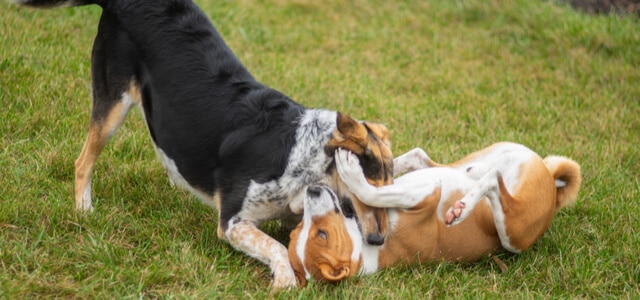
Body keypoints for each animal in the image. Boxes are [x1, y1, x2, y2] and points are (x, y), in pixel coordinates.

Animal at [15, 0, 396, 288]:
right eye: (364, 196)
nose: (379, 242)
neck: (299, 156)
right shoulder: (233, 222)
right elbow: (275, 247)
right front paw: (284, 281)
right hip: (113, 102)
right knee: (83, 161)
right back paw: (84, 210)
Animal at [288, 142, 584, 284]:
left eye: (319, 233)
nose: (312, 193)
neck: (362, 248)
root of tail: (551, 180)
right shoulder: (428, 193)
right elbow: (373, 194)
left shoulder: (425, 192)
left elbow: (371, 193)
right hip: (513, 233)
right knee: (492, 180)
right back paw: (462, 208)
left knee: (422, 158)